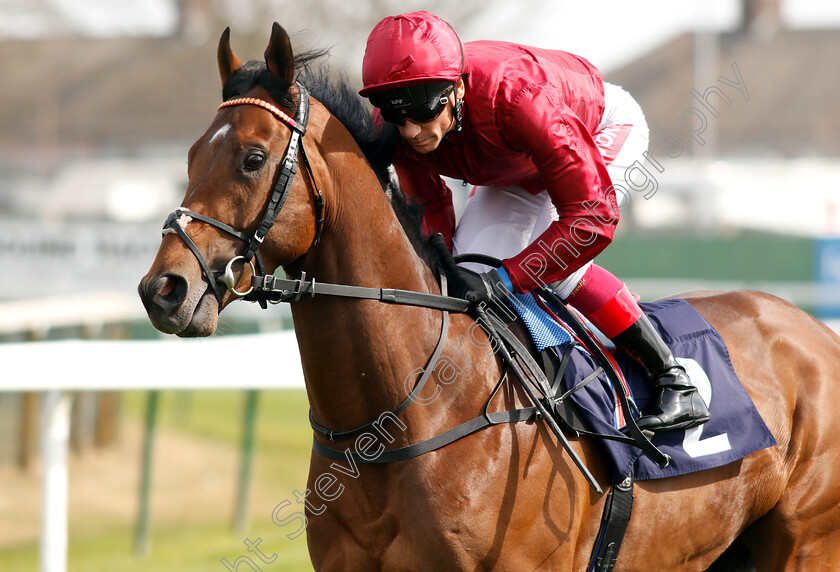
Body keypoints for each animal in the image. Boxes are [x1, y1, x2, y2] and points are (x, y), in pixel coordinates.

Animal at [139, 23, 840, 572]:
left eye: (254, 158)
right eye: (191, 156)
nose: (163, 290)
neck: (403, 414)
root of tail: (815, 330)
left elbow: (589, 214)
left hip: (805, 542)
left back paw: (677, 395)